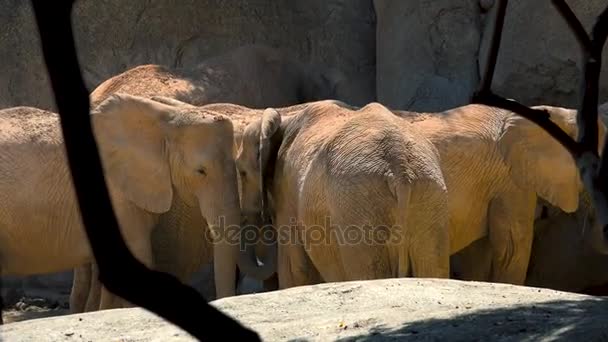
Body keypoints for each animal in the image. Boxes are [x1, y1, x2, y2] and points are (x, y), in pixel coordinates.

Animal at [239, 101, 608, 288]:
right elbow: (505, 250)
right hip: (398, 196)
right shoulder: (510, 180)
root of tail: (399, 167)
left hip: (386, 198)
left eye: (240, 173)